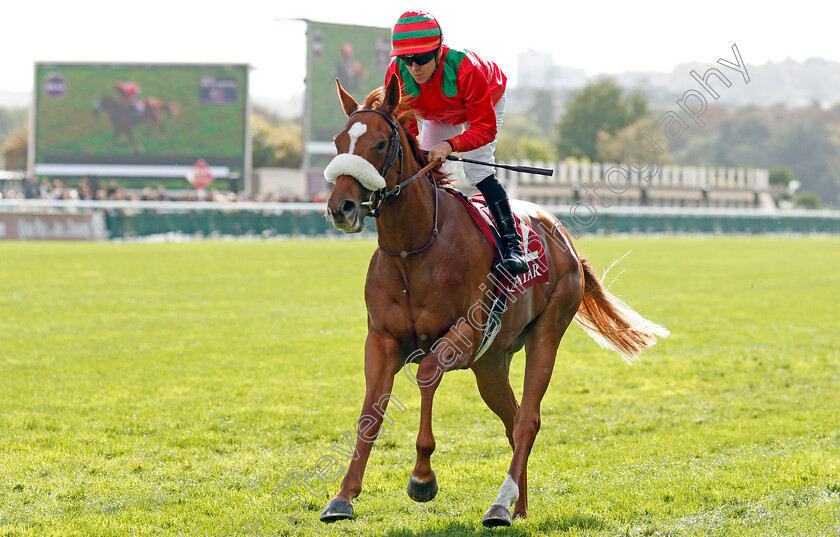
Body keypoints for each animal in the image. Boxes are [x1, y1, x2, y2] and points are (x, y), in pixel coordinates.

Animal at [322, 75, 668, 528]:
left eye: (380, 143)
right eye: (338, 140)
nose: (341, 207)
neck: (415, 249)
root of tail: (563, 235)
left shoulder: (467, 332)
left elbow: (427, 374)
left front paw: (422, 477)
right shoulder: (381, 340)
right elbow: (369, 414)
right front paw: (343, 496)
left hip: (546, 332)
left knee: (528, 420)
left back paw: (501, 504)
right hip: (491, 362)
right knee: (514, 416)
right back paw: (519, 505)